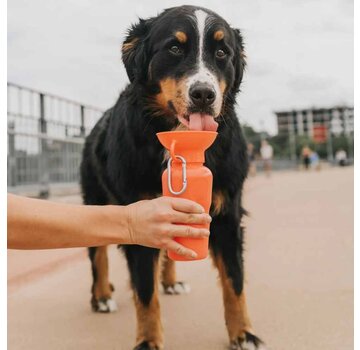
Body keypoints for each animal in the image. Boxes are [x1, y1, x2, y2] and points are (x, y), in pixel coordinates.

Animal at [82, 5, 268, 350]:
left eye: (222, 52)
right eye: (174, 48)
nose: (204, 94)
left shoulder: (227, 214)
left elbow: (234, 282)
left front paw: (243, 334)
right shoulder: (139, 215)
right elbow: (145, 293)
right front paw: (147, 340)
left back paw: (169, 282)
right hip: (96, 202)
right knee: (97, 256)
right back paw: (100, 297)